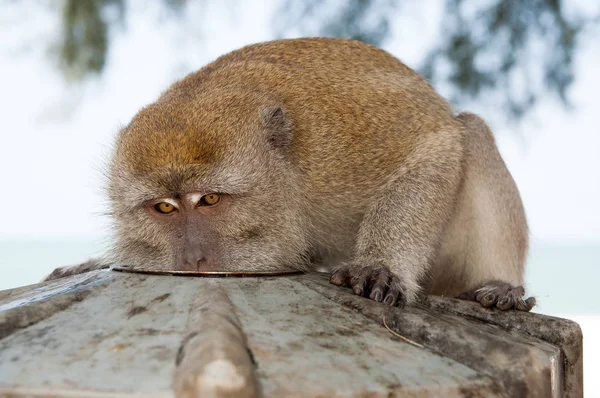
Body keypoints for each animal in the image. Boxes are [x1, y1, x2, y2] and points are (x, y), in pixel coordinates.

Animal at [45, 38, 536, 310]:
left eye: (210, 200)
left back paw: (501, 285)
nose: (192, 257)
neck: (290, 176)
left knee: (470, 132)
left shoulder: (339, 144)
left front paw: (379, 265)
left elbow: (434, 144)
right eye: (164, 207)